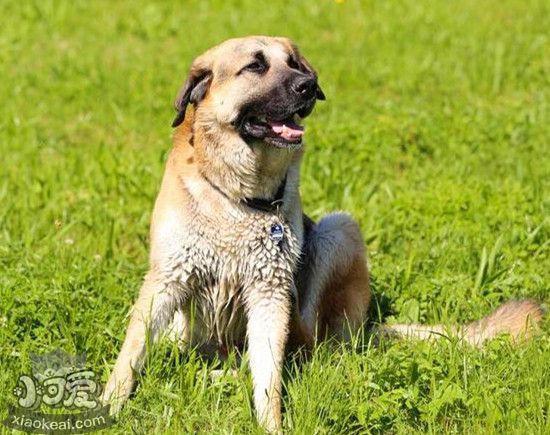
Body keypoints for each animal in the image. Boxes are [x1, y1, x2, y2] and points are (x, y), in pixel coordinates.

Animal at [101, 35, 544, 430]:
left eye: (294, 63)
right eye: (255, 66)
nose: (309, 85)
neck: (239, 196)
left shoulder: (270, 290)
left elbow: (269, 379)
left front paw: (271, 425)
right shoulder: (167, 279)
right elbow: (131, 352)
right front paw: (109, 405)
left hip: (338, 232)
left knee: (307, 351)